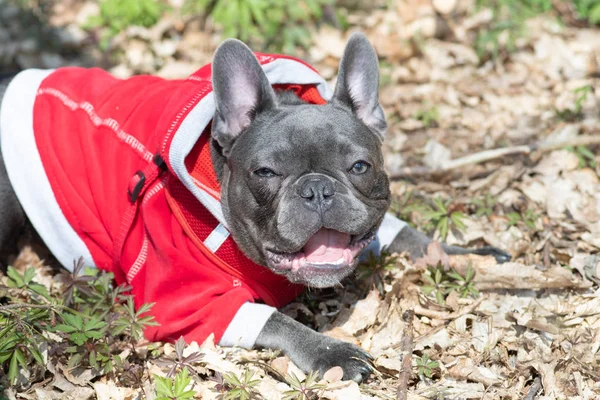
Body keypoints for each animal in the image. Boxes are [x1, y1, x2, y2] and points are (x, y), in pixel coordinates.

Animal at [0, 34, 508, 382]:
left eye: (360, 166)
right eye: (265, 172)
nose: (317, 189)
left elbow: (413, 238)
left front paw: (471, 259)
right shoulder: (188, 306)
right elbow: (278, 320)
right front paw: (332, 354)